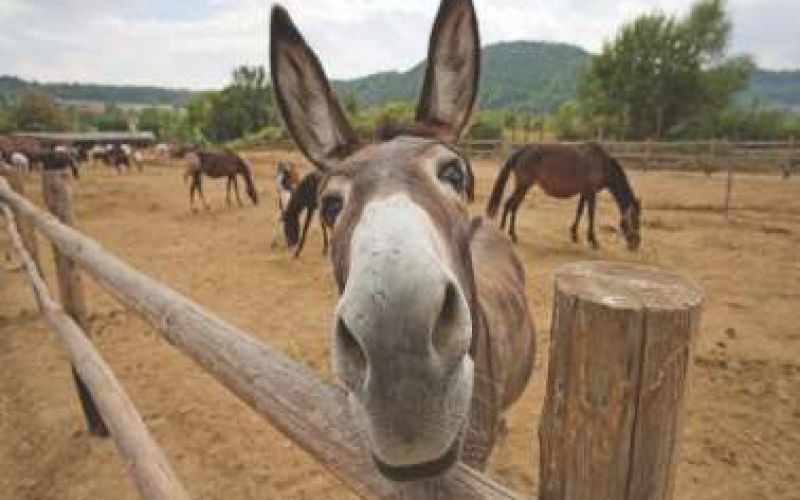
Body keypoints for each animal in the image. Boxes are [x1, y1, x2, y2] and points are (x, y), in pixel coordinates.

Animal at [482, 142, 644, 250]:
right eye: (636, 220)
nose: (635, 244)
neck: (603, 164)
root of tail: (523, 150)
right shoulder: (591, 193)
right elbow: (591, 214)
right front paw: (593, 241)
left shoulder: (584, 192)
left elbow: (579, 211)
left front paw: (574, 235)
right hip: (523, 185)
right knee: (511, 205)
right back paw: (509, 235)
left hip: (523, 187)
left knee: (511, 205)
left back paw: (507, 233)